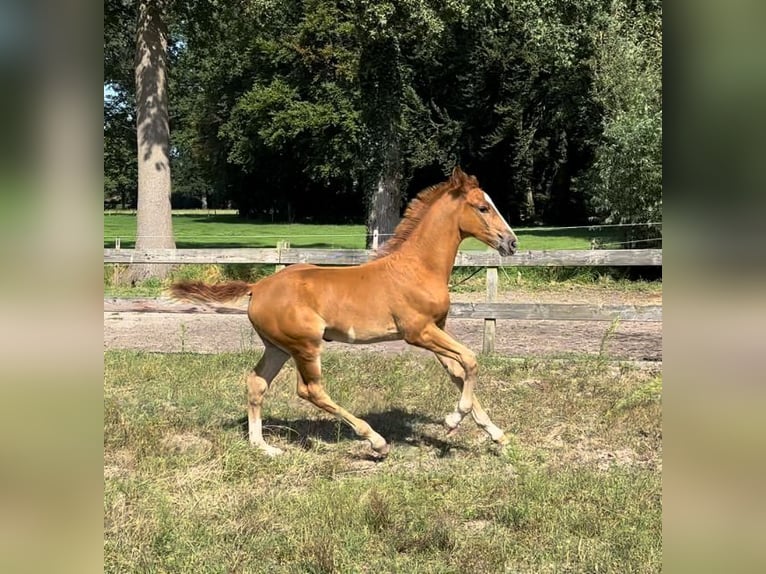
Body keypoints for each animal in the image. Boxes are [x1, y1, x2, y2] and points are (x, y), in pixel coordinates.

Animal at [171, 168, 520, 460]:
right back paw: (376, 441)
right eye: (482, 207)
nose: (512, 242)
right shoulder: (419, 332)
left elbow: (457, 372)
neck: (417, 268)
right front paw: (452, 420)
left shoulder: (437, 328)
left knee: (256, 383)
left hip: (278, 348)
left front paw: (497, 435)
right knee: (310, 390)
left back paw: (264, 447)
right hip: (305, 345)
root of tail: (257, 287)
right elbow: (471, 360)